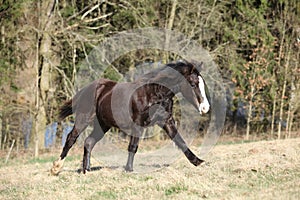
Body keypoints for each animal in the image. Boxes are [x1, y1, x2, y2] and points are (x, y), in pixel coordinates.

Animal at [50, 60, 210, 175]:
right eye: (193, 84)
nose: (205, 108)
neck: (153, 94)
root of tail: (88, 88)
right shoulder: (138, 124)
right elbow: (133, 146)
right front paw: (129, 169)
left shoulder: (166, 121)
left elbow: (181, 142)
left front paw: (199, 162)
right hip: (83, 119)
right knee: (71, 138)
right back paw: (56, 168)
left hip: (103, 124)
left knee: (89, 142)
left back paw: (86, 170)